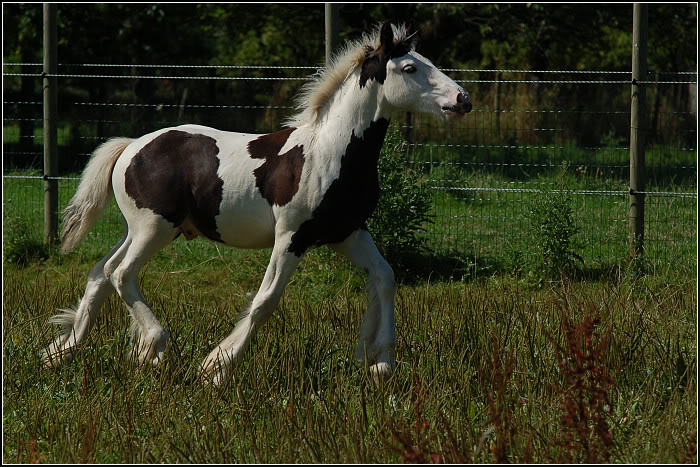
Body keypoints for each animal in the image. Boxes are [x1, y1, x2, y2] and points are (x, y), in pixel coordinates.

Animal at [42, 22, 470, 388]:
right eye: (410, 67)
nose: (463, 99)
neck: (332, 153)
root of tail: (131, 146)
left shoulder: (348, 233)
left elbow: (385, 277)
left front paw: (380, 361)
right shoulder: (292, 236)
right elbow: (265, 301)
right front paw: (217, 368)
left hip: (142, 230)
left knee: (100, 272)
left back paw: (61, 352)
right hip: (153, 229)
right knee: (121, 274)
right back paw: (156, 348)